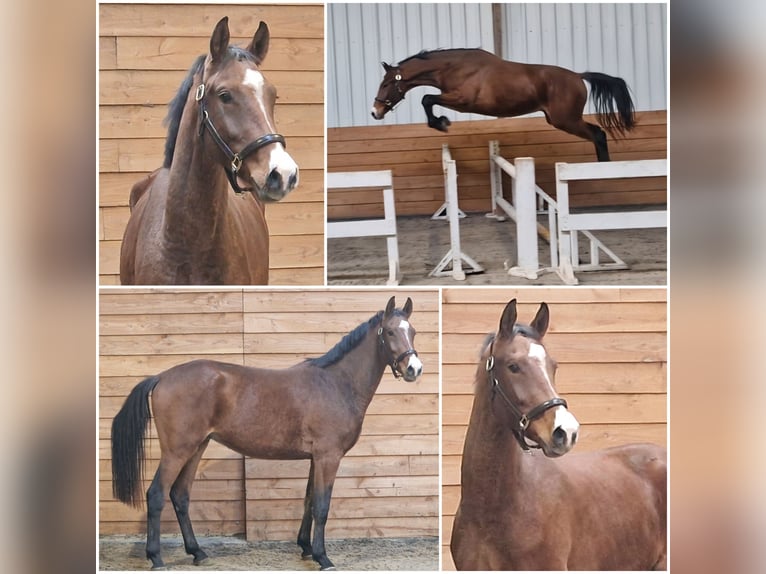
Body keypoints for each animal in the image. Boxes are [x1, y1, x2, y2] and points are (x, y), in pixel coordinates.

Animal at [111, 297, 423, 571]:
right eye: (390, 331)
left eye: (413, 331)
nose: (414, 369)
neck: (336, 383)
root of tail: (161, 377)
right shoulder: (328, 456)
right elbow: (322, 506)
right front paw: (323, 557)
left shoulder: (315, 458)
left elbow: (309, 501)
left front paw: (305, 548)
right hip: (177, 451)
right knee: (156, 495)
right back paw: (156, 558)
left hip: (196, 447)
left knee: (180, 496)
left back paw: (198, 552)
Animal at [371, 48, 636, 162]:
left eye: (386, 84)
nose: (375, 112)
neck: (454, 67)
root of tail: (579, 76)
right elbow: (428, 99)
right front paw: (440, 122)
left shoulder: (462, 101)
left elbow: (427, 98)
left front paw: (441, 123)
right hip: (560, 120)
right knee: (597, 135)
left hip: (566, 120)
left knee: (598, 134)